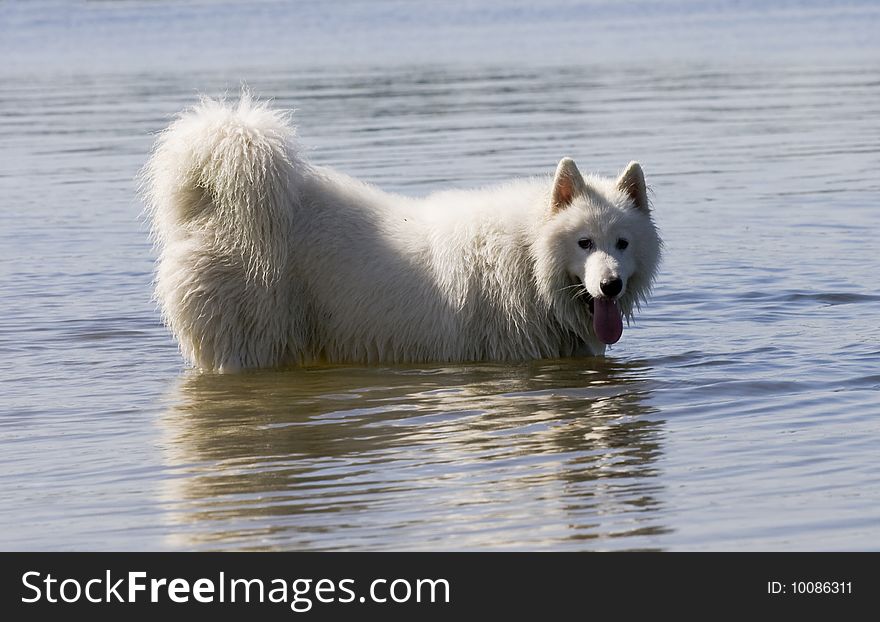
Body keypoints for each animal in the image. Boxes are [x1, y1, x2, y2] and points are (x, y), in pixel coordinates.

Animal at [143, 95, 660, 372]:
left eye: (622, 244)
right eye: (584, 242)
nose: (610, 285)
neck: (529, 258)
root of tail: (212, 207)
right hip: (250, 346)